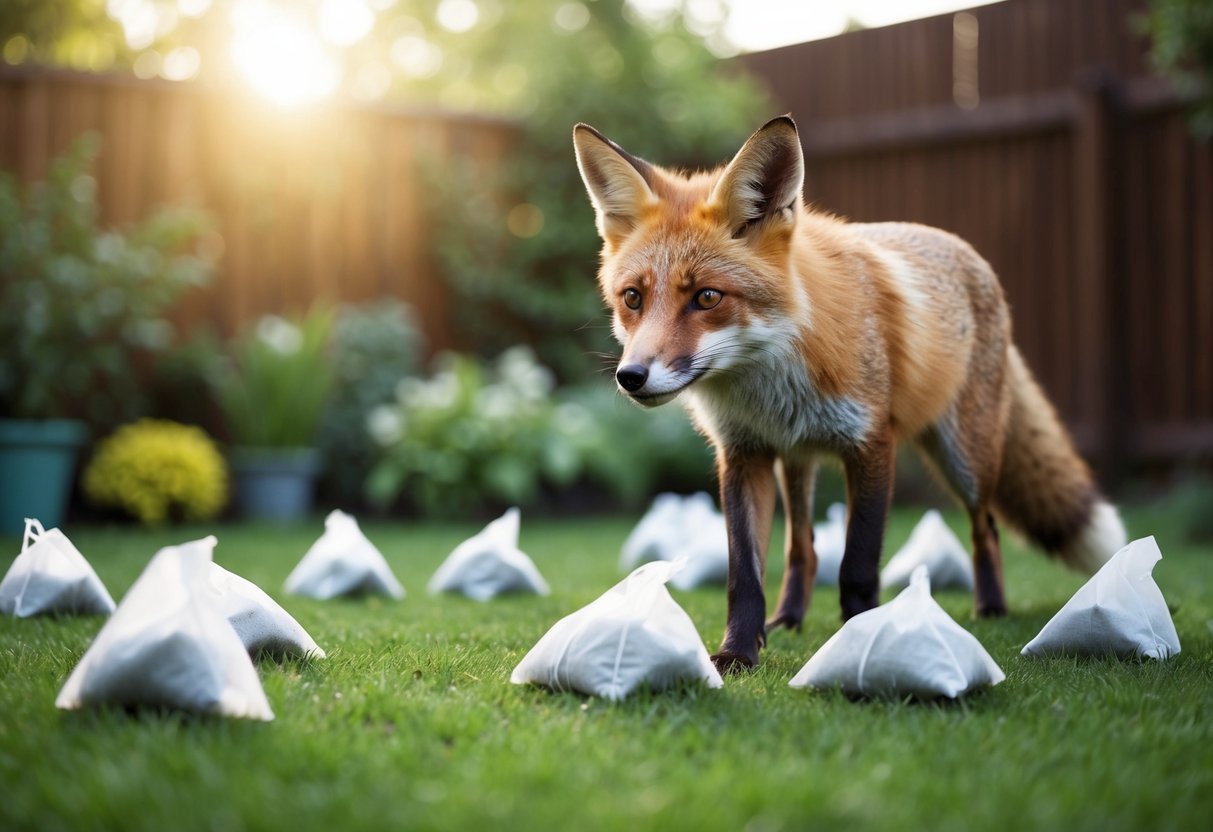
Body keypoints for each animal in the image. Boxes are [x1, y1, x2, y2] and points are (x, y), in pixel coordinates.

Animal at [573, 115, 1128, 673]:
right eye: (633, 298)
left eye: (707, 297)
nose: (631, 376)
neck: (771, 373)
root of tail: (968, 253)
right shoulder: (743, 455)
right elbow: (744, 576)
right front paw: (737, 653)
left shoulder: (871, 444)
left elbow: (858, 566)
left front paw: (862, 639)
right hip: (796, 462)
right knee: (803, 548)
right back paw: (788, 620)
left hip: (965, 459)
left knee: (985, 529)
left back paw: (990, 608)